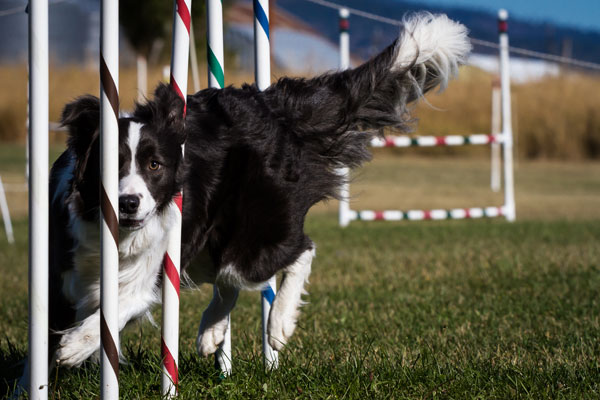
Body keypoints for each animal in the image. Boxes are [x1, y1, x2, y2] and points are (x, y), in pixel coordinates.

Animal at [45, 14, 468, 368]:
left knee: (294, 252)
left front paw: (76, 345)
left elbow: (117, 307)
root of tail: (274, 108)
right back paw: (212, 332)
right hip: (205, 235)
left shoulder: (151, 263)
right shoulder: (65, 263)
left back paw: (278, 325)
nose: (128, 203)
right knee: (227, 279)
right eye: (110, 164)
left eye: (154, 166)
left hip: (254, 229)